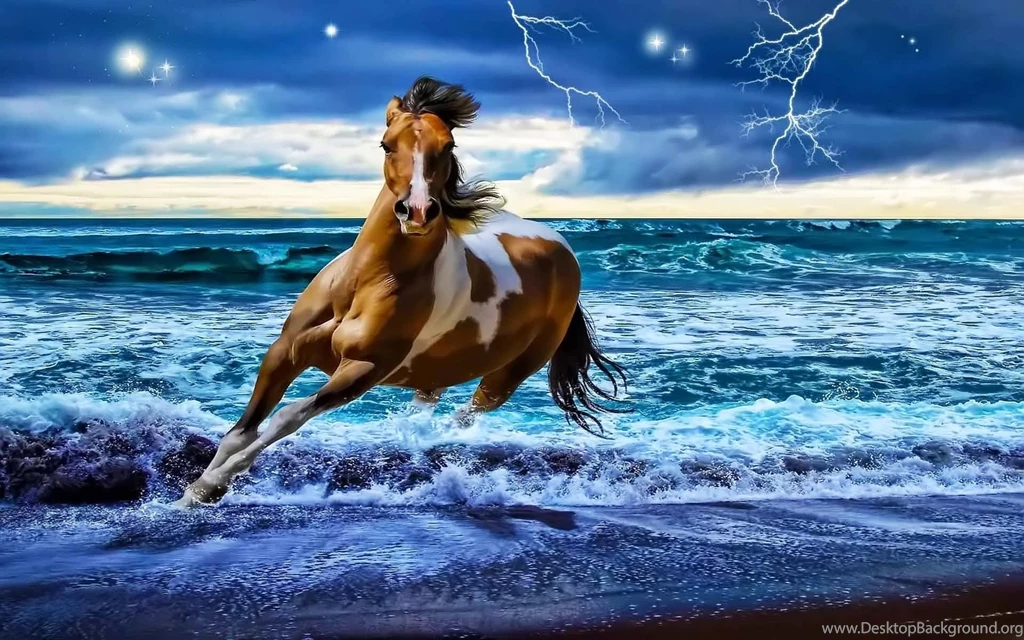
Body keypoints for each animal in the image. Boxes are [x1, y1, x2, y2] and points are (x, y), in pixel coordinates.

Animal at [177, 76, 628, 507]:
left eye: (448, 145)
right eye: (386, 144)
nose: (417, 211)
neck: (365, 284)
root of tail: (561, 248)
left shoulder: (363, 370)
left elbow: (287, 417)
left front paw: (208, 488)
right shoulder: (284, 351)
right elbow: (241, 431)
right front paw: (189, 494)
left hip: (509, 373)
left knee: (465, 415)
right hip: (438, 370)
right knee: (428, 405)